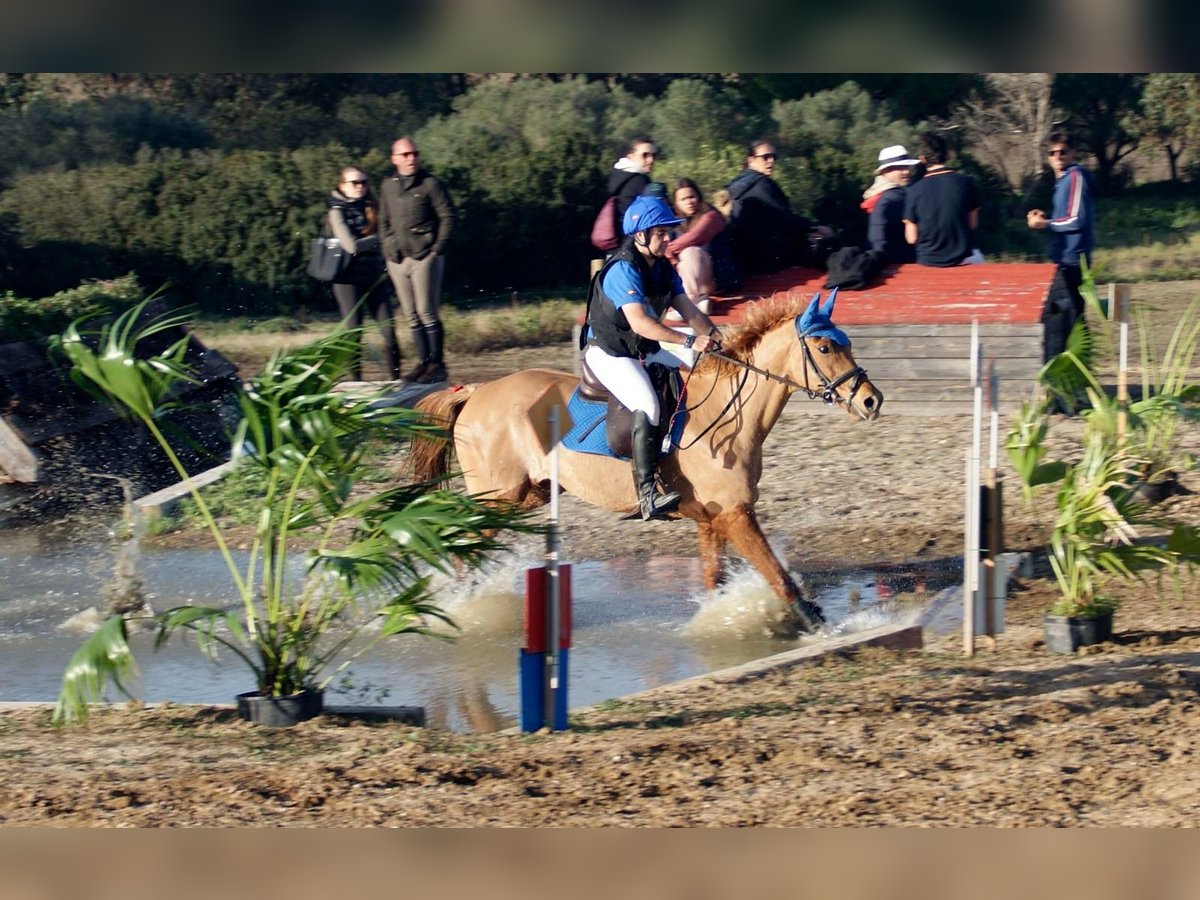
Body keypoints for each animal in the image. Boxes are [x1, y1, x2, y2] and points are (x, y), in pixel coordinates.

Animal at [410, 292, 883, 638]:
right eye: (824, 347)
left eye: (846, 342)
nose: (871, 401)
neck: (729, 411)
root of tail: (476, 391)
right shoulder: (737, 515)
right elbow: (780, 577)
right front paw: (822, 624)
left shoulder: (713, 520)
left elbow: (714, 580)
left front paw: (717, 621)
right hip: (499, 498)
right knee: (463, 537)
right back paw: (462, 600)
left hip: (529, 494)